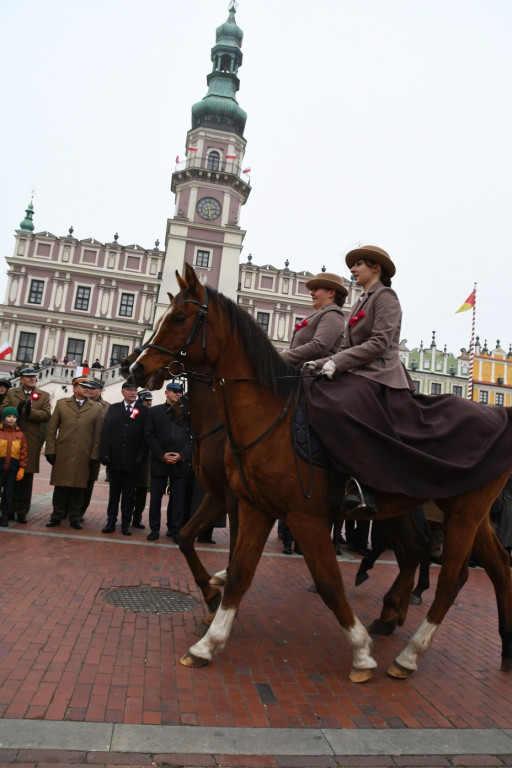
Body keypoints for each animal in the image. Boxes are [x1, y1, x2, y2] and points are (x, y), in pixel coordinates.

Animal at [129, 266, 512, 684]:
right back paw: (491, 647)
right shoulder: (254, 505)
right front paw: (208, 639)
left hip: (462, 513)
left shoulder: (297, 514)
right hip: (457, 512)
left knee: (450, 578)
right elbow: (235, 569)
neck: (266, 417)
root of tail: (498, 413)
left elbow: (329, 581)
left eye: (180, 318)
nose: (135, 368)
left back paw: (408, 654)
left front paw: (360, 653)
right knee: (482, 563)